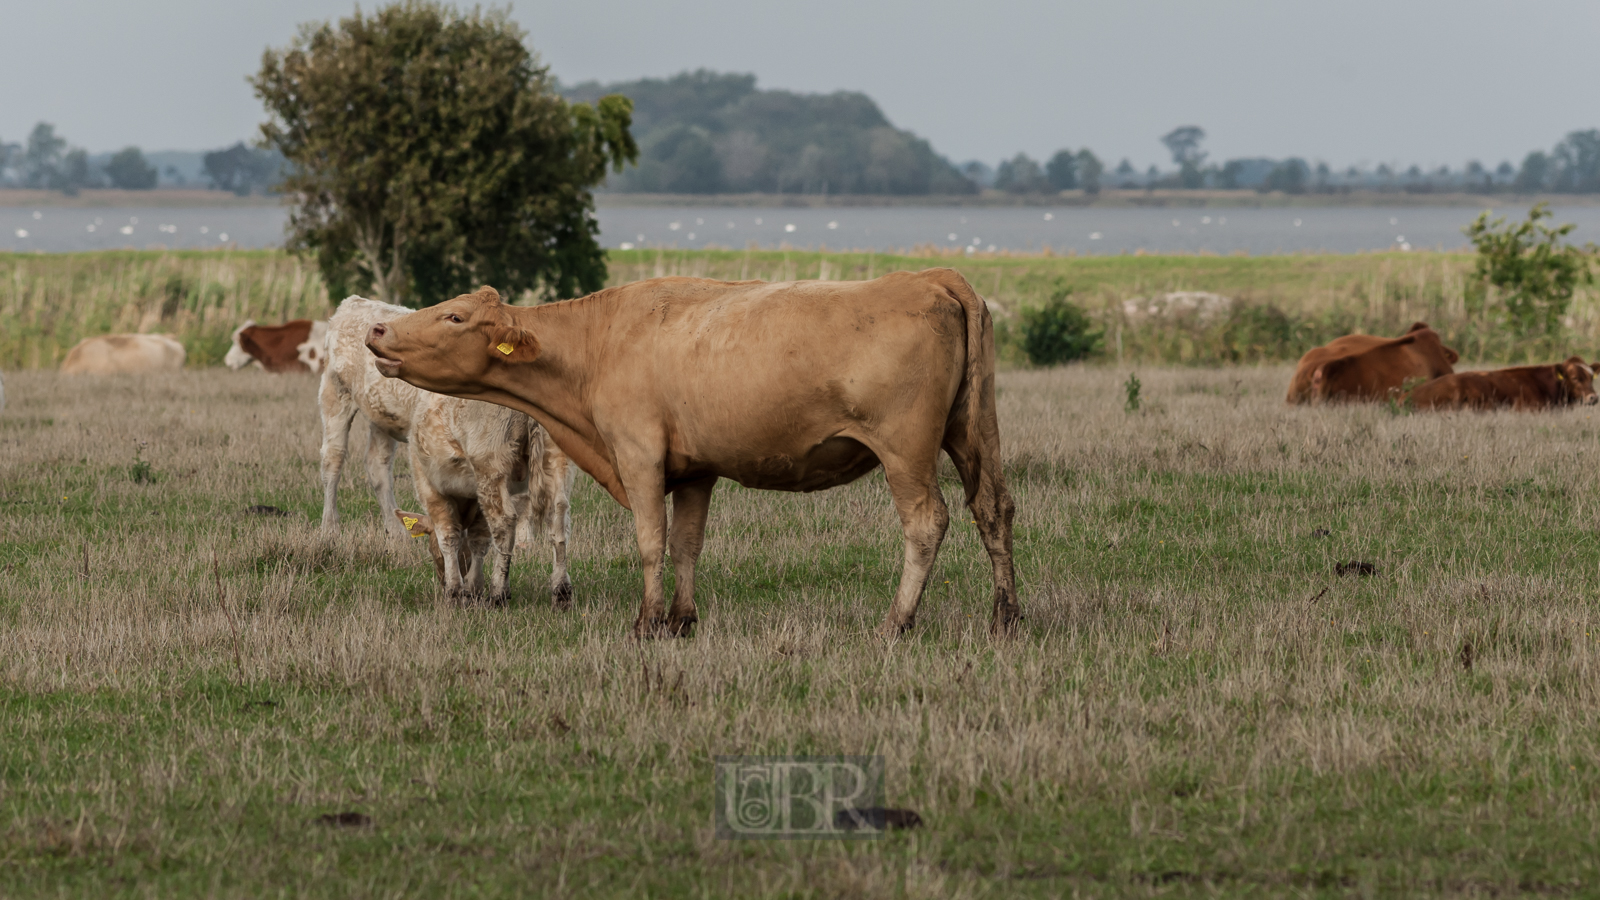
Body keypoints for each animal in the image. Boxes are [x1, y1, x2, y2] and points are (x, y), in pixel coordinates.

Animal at [366, 267, 1011, 637]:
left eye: (454, 315)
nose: (377, 330)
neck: (597, 343)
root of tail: (932, 277)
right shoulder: (697, 469)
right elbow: (686, 544)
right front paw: (681, 619)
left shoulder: (639, 455)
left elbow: (651, 541)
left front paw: (648, 622)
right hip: (974, 432)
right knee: (994, 511)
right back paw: (1006, 616)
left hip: (906, 451)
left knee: (927, 522)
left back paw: (898, 622)